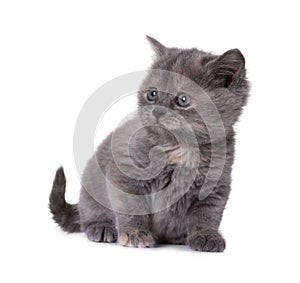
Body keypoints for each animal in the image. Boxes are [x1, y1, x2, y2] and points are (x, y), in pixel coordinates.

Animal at [50, 36, 250, 253]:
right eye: (152, 94)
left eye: (183, 99)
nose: (157, 111)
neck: (180, 148)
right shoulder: (125, 174)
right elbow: (132, 207)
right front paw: (134, 234)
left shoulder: (215, 185)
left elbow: (208, 215)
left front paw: (207, 236)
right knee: (88, 215)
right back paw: (101, 227)